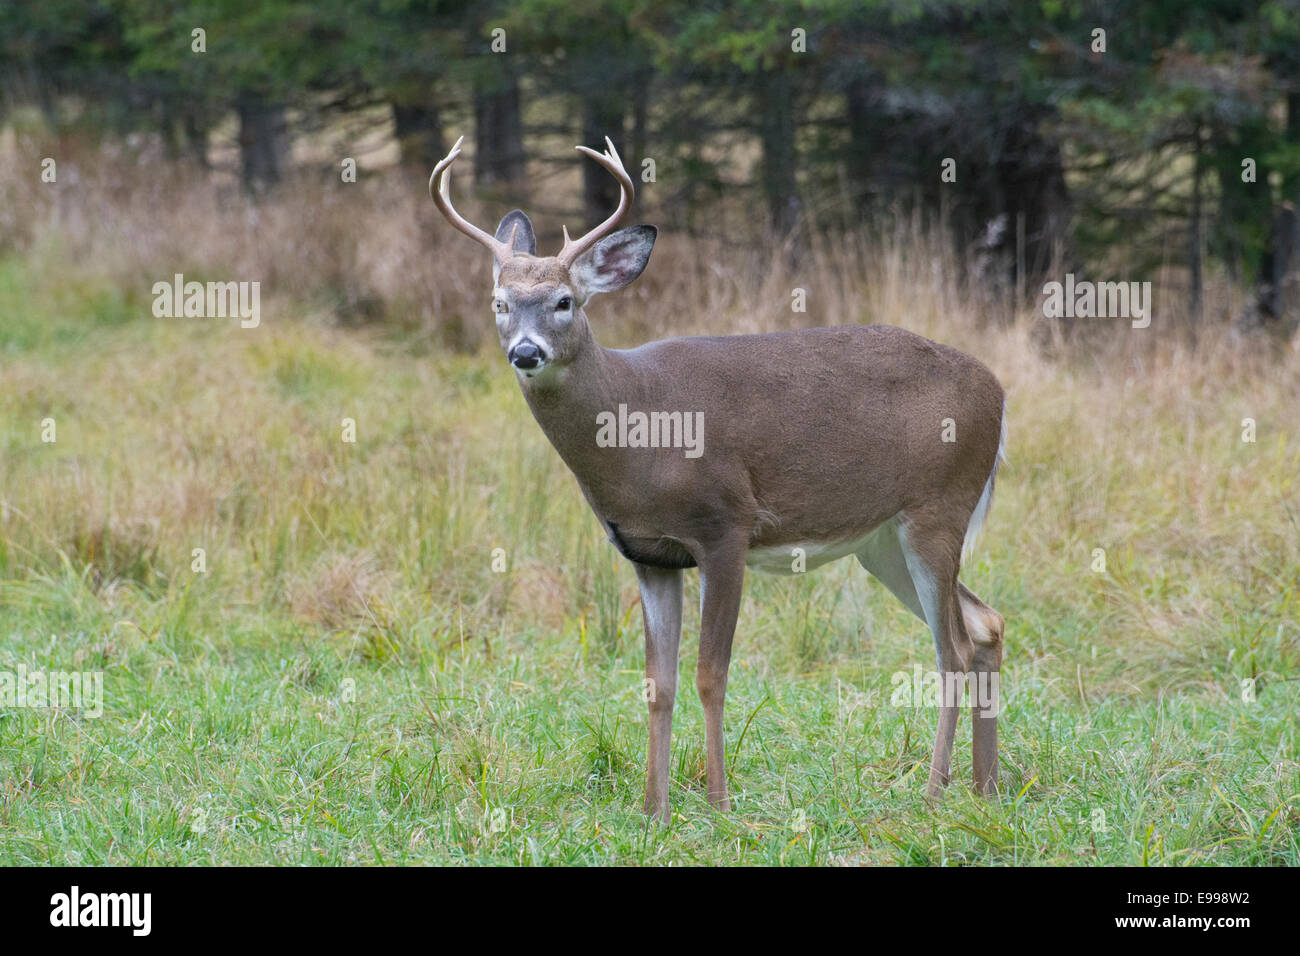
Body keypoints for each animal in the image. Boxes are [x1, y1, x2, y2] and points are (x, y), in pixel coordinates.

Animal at [431, 134, 1008, 822]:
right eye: (499, 303)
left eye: (564, 302)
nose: (525, 352)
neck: (638, 430)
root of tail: (1000, 393)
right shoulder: (648, 554)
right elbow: (659, 682)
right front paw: (653, 809)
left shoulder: (725, 526)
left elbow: (712, 674)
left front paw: (717, 799)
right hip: (881, 542)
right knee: (986, 623)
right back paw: (984, 785)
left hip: (938, 507)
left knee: (952, 648)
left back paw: (934, 791)